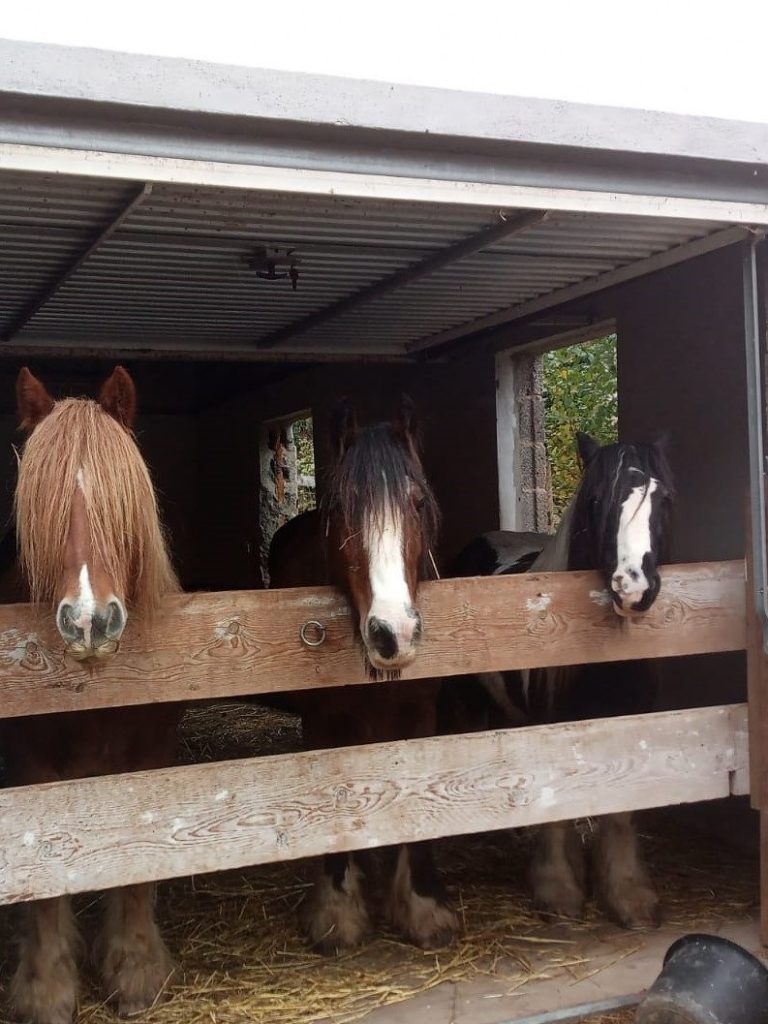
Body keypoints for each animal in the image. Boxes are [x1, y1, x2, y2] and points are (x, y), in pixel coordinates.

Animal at [1, 367, 182, 1024]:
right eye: (43, 510)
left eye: (118, 504)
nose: (88, 622)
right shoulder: (31, 770)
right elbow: (42, 878)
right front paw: (45, 989)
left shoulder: (148, 760)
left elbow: (136, 862)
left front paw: (136, 968)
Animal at [268, 397, 460, 954]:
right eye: (340, 511)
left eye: (418, 504)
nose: (392, 634)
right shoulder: (324, 725)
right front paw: (338, 911)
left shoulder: (420, 714)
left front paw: (422, 905)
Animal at [441, 431, 673, 929]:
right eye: (596, 499)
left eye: (664, 498)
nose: (633, 588)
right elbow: (555, 803)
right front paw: (558, 890)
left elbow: (620, 812)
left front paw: (629, 897)